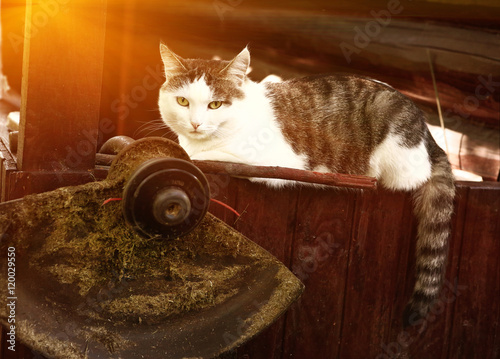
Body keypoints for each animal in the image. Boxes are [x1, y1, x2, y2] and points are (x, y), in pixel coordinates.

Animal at [158, 44, 456, 326]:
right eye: (182, 101)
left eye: (215, 105)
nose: (195, 124)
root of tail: (429, 135)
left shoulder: (276, 161)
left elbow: (205, 156)